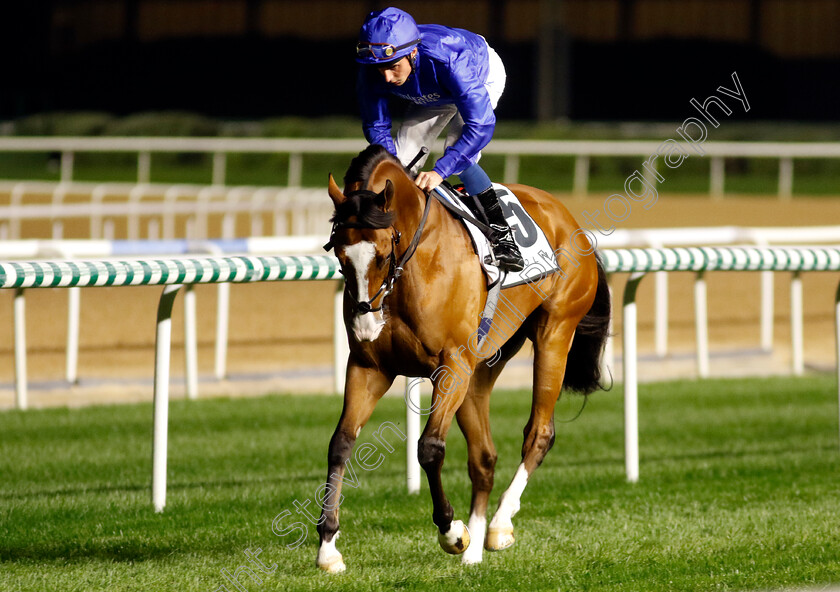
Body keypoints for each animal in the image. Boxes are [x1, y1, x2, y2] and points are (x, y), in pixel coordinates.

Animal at [316, 145, 612, 572]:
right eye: (339, 253)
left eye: (383, 254)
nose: (365, 321)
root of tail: (568, 217)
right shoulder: (369, 367)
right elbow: (340, 443)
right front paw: (327, 547)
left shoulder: (451, 365)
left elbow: (429, 447)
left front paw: (451, 531)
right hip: (483, 366)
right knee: (484, 458)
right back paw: (473, 553)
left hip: (555, 333)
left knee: (539, 433)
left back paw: (498, 526)